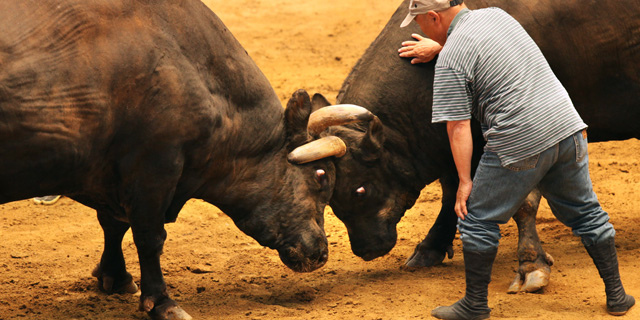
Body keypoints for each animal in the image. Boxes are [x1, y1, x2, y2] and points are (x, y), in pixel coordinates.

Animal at [0, 0, 376, 320]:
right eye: (322, 176)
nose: (321, 253)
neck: (193, 68)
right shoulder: (154, 167)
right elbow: (149, 237)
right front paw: (161, 302)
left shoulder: (114, 174)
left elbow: (113, 224)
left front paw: (115, 276)